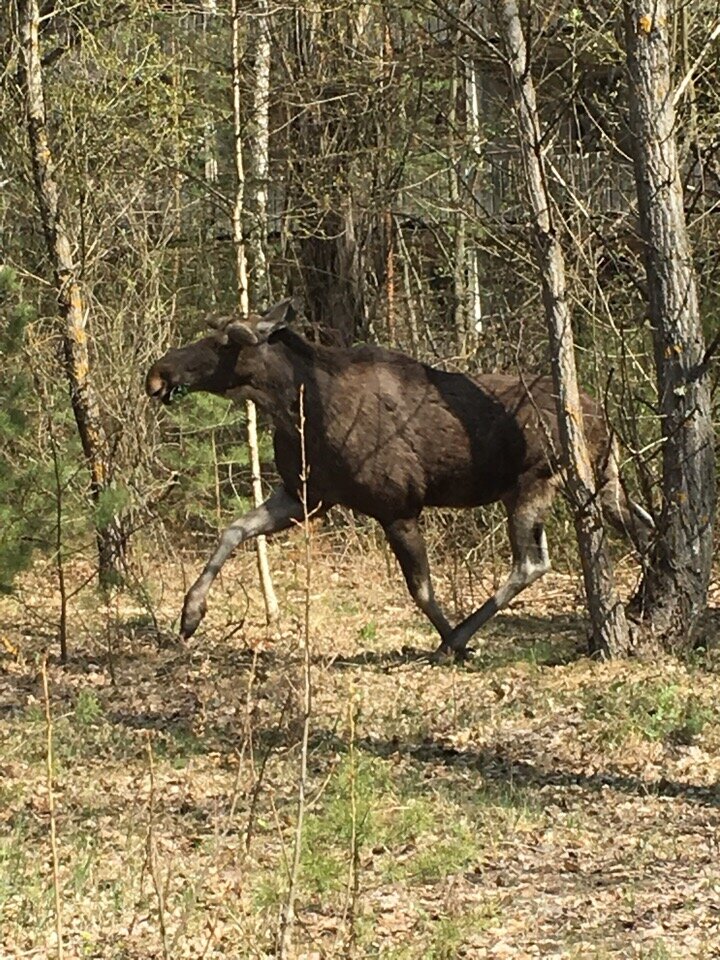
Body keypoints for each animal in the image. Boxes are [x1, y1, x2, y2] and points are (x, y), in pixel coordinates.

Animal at [146, 300, 652, 660]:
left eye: (226, 341)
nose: (158, 372)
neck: (297, 411)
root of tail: (602, 416)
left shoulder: (396, 505)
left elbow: (421, 589)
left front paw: (453, 643)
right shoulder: (305, 496)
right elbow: (233, 530)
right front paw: (190, 614)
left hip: (534, 481)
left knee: (531, 562)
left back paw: (457, 639)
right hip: (604, 478)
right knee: (642, 525)